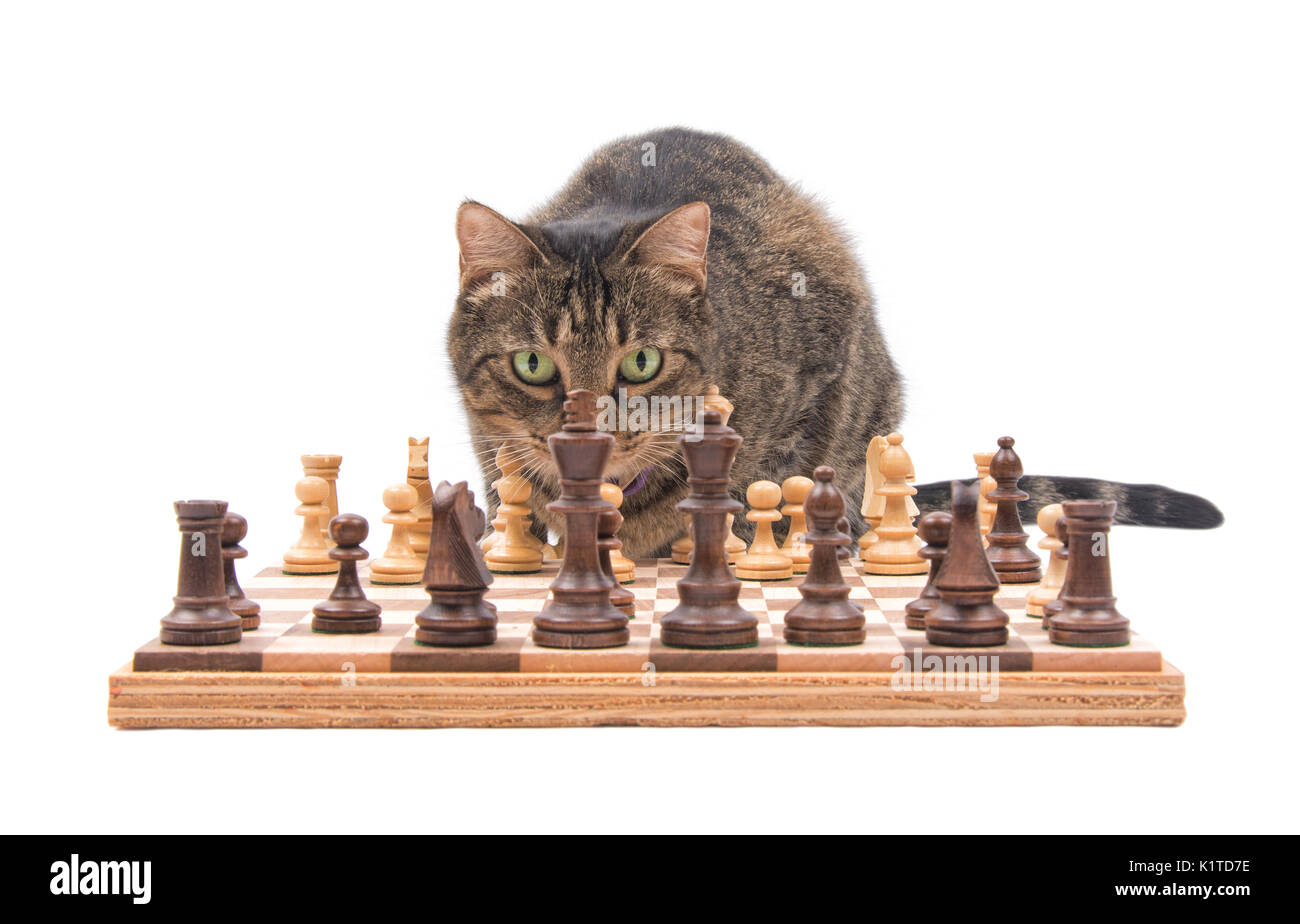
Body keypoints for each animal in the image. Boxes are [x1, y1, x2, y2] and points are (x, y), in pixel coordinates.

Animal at [447, 127, 1216, 561]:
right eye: (532, 364)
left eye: (641, 362)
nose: (590, 434)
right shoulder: (491, 449)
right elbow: (516, 494)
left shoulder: (820, 372)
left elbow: (761, 495)